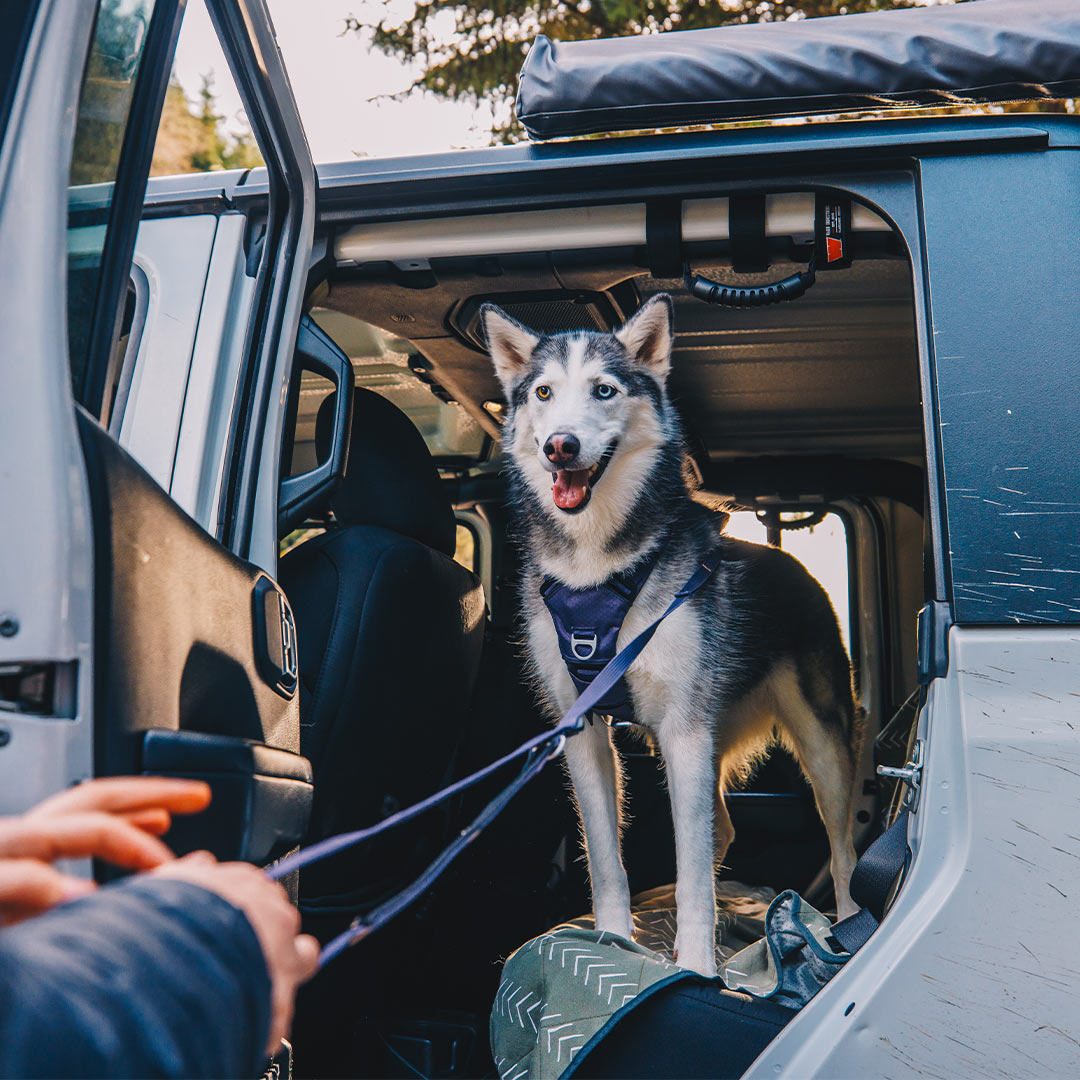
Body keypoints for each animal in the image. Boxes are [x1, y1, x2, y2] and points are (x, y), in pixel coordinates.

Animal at [481, 295, 859, 980]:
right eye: (544, 393)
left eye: (604, 390)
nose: (559, 446)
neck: (597, 569)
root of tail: (790, 562)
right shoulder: (582, 730)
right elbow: (607, 860)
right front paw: (612, 940)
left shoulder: (685, 729)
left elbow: (690, 872)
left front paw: (699, 966)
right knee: (722, 830)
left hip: (819, 741)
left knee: (839, 845)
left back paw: (843, 925)